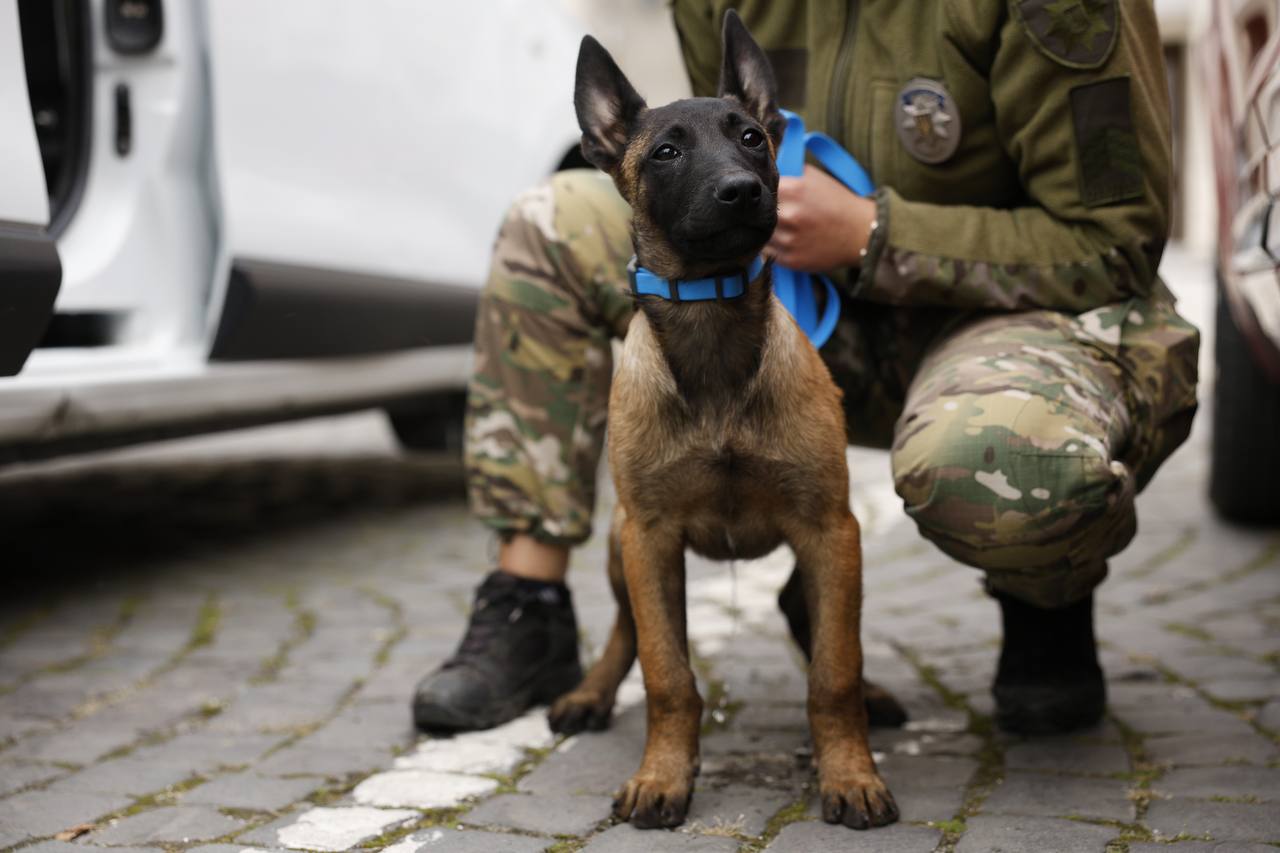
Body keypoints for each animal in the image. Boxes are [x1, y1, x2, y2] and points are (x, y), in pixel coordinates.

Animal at [550, 8, 901, 829]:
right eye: (667, 152)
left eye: (752, 137)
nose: (743, 190)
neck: (712, 334)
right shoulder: (649, 538)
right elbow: (666, 672)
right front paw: (663, 777)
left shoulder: (830, 528)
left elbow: (834, 668)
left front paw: (850, 772)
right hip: (617, 545)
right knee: (625, 629)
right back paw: (589, 691)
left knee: (812, 618)